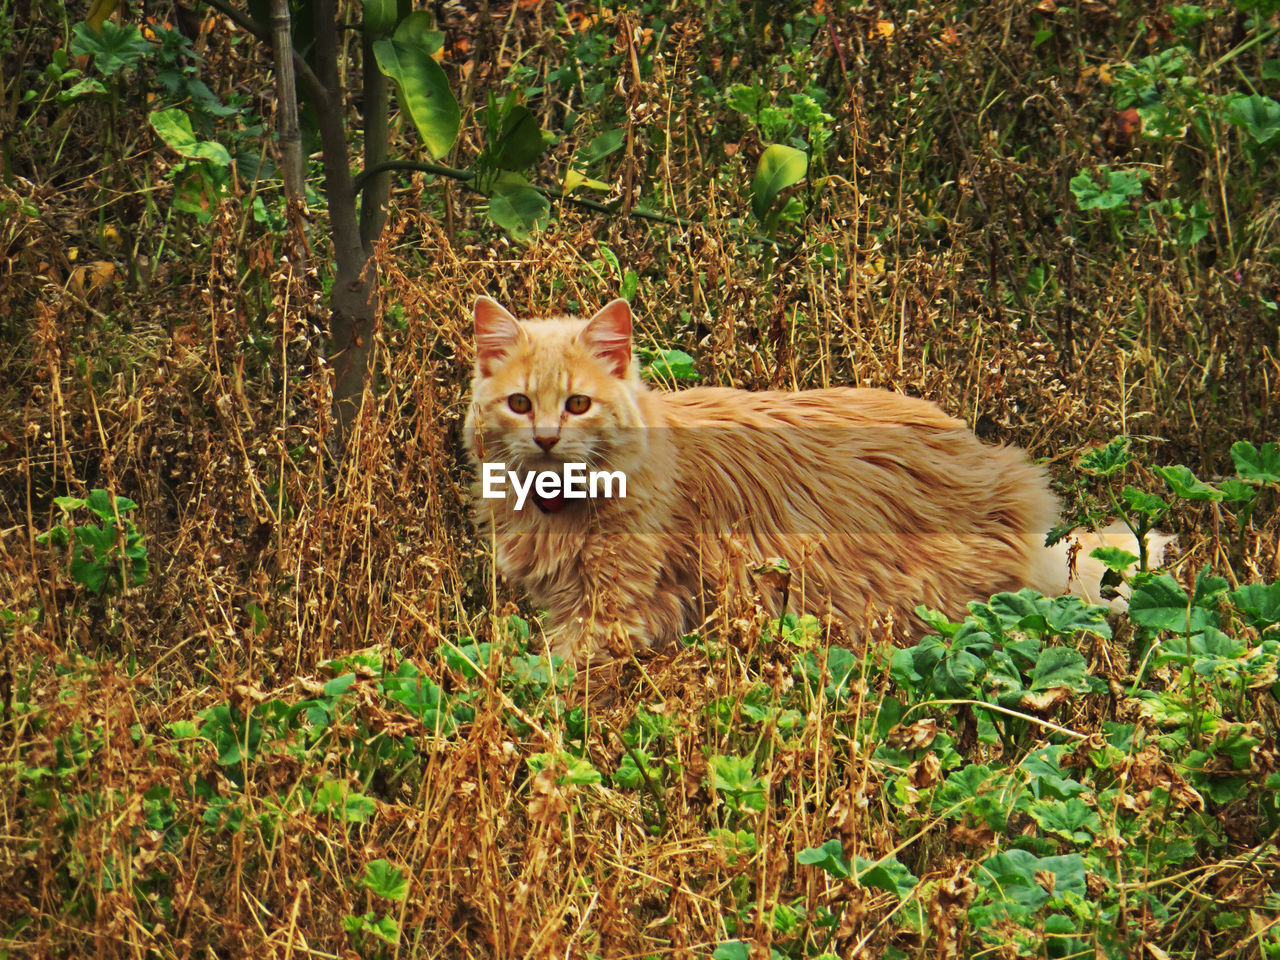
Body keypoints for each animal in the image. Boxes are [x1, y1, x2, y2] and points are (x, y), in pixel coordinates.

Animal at [465, 296, 1167, 665]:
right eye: (521, 404)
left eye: (577, 405)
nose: (546, 439)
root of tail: (1000, 469)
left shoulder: (615, 615)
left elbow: (549, 680)